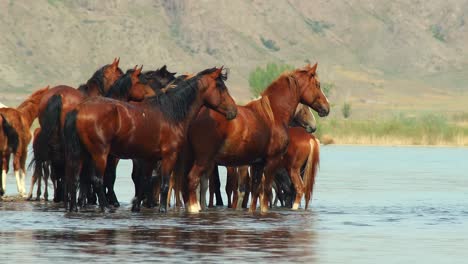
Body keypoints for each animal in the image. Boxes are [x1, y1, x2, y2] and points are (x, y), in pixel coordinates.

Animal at [62, 66, 238, 212]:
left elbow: (144, 182)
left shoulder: (149, 159)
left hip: (83, 154)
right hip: (100, 155)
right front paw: (162, 209)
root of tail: (79, 109)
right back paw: (105, 208)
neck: (171, 113)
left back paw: (74, 208)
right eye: (220, 87)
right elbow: (164, 185)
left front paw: (136, 207)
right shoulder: (169, 156)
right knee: (97, 180)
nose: (234, 111)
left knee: (75, 179)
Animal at [176, 63, 330, 213]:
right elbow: (265, 193)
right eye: (317, 84)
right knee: (192, 181)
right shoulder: (271, 162)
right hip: (203, 159)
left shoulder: (257, 164)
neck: (273, 114)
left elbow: (255, 192)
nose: (326, 108)